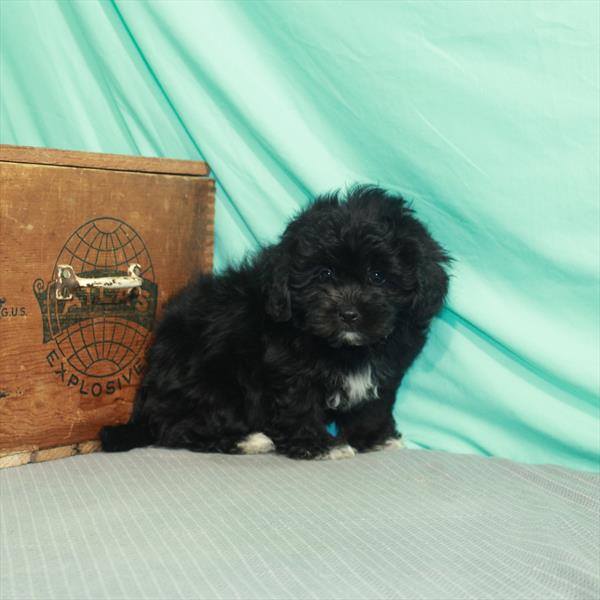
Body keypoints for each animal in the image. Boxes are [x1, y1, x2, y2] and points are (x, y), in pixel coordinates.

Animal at [101, 186, 450, 460]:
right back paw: (247, 440)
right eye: (324, 274)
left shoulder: (385, 368)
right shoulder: (289, 370)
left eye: (378, 276)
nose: (348, 313)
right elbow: (300, 404)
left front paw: (375, 438)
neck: (346, 348)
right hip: (210, 383)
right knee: (180, 427)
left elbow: (373, 404)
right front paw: (321, 445)